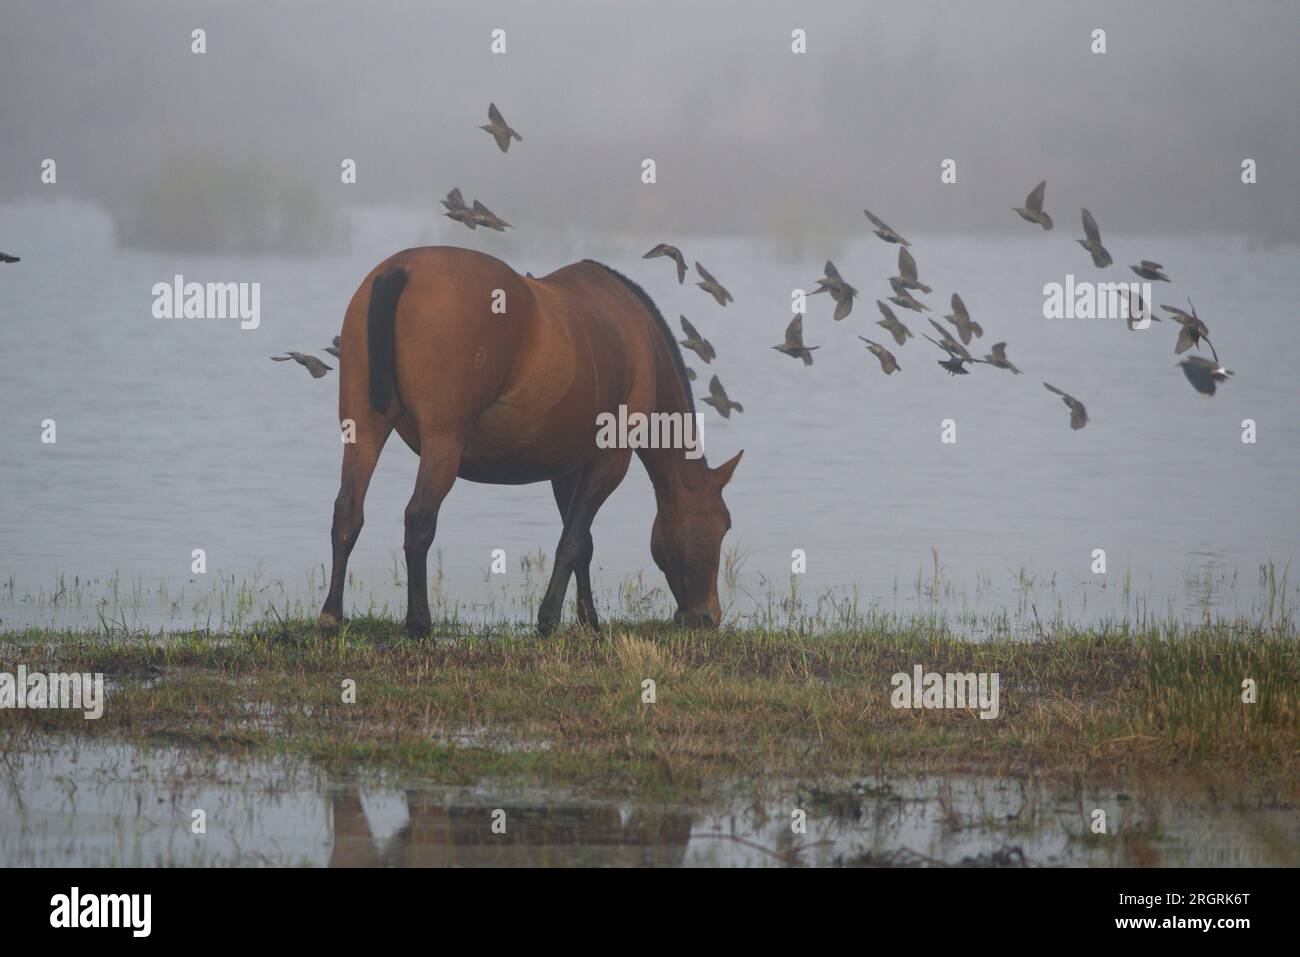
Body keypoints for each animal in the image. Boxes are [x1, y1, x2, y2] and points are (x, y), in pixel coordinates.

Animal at [317, 246, 742, 637]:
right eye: (723, 524)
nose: (707, 616)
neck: (637, 338)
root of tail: (400, 270)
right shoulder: (609, 462)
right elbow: (571, 541)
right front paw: (549, 618)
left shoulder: (567, 466)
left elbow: (582, 544)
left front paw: (588, 619)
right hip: (442, 443)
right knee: (419, 518)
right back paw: (420, 623)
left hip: (363, 431)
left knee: (347, 511)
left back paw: (331, 616)